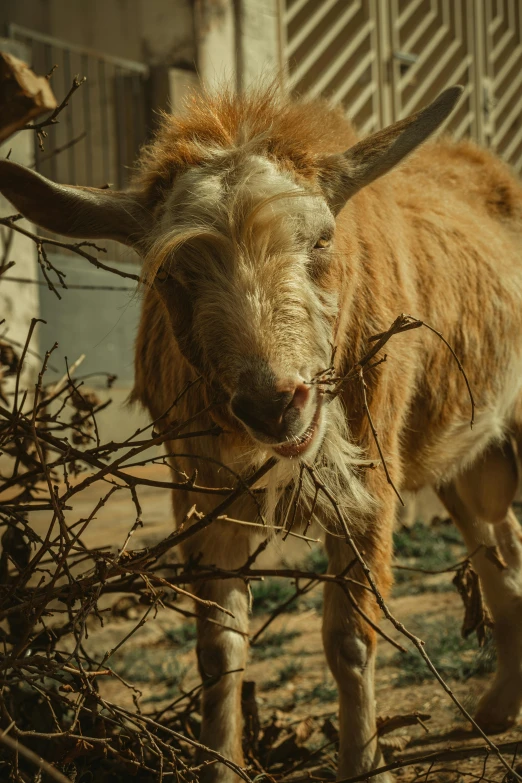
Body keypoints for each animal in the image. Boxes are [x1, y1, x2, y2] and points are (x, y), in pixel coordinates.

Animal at [1, 82, 520, 780]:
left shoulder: (369, 484)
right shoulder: (202, 494)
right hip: (462, 454)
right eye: (170, 274)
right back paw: (500, 705)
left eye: (323, 241)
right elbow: (218, 648)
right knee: (498, 544)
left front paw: (362, 761)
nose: (274, 404)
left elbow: (350, 639)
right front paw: (221, 763)